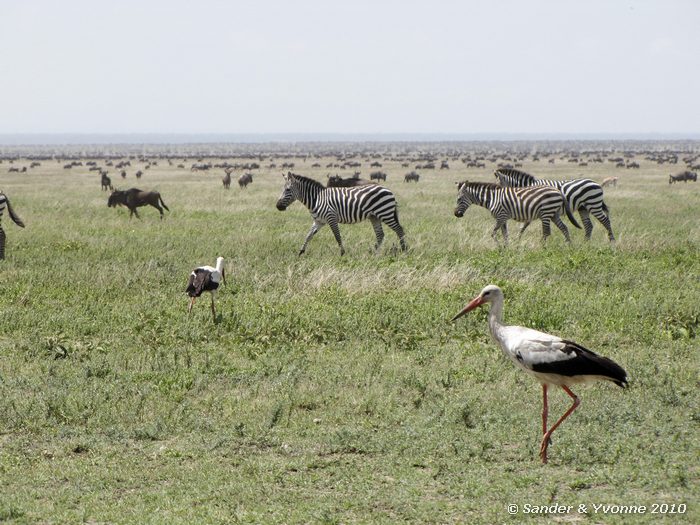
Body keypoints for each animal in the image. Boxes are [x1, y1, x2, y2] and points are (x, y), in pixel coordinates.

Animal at [276, 172, 407, 256]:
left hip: (385, 213)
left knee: (399, 229)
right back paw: (374, 253)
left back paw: (404, 250)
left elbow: (337, 236)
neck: (316, 199)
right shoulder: (318, 221)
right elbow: (308, 235)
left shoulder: (331, 217)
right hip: (374, 216)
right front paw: (301, 252)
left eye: (287, 189)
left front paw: (342, 253)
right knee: (380, 235)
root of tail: (388, 190)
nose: (278, 206)